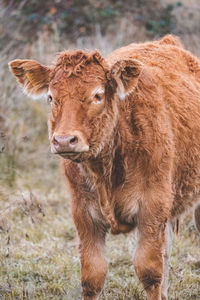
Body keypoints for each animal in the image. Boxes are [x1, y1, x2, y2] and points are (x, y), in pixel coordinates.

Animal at [9, 35, 200, 300]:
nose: (64, 140)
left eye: (97, 95)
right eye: (50, 97)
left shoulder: (153, 207)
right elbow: (93, 275)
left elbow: (150, 272)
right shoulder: (83, 213)